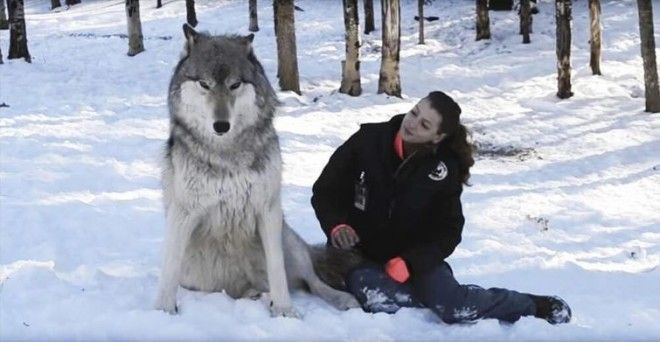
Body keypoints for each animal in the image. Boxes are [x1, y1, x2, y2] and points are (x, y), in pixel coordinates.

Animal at [155, 24, 360, 318]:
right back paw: (256, 295)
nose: (221, 125)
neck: (227, 153)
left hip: (289, 240)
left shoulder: (267, 209)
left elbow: (278, 271)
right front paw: (162, 310)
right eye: (204, 84)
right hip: (196, 274)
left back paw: (338, 299)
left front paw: (285, 312)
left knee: (311, 281)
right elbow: (169, 268)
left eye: (235, 85)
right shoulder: (183, 212)